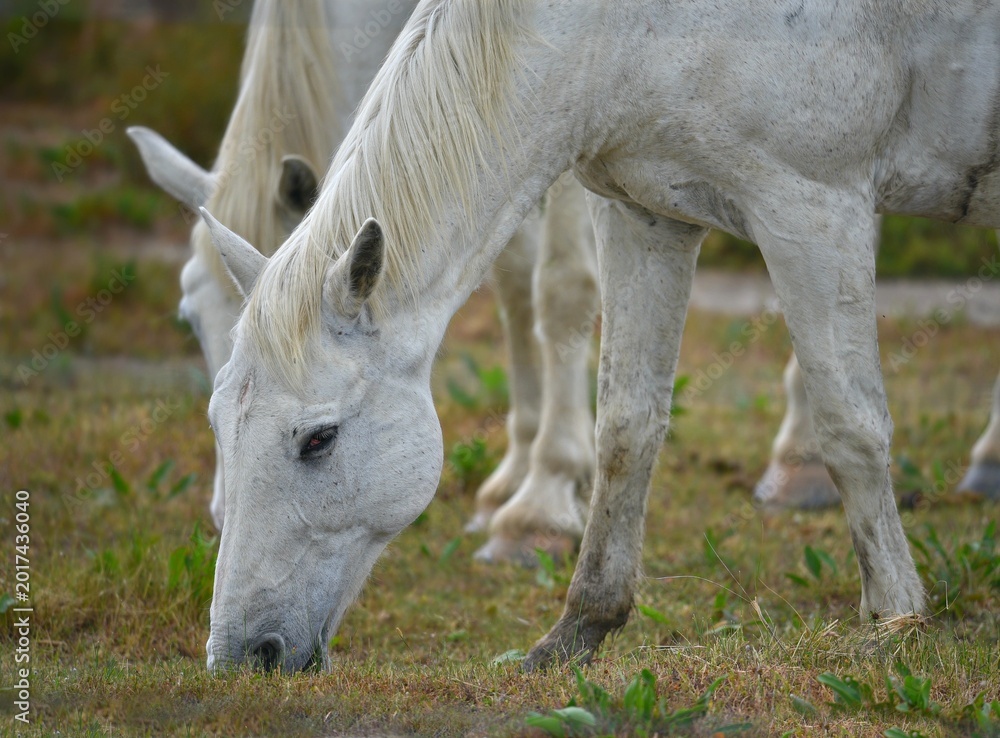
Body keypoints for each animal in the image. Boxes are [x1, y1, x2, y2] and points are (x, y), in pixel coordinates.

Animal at [128, 0, 599, 563]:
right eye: (191, 320)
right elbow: (514, 282)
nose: (223, 519)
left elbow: (560, 288)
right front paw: (514, 479)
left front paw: (544, 499)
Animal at [200, 0, 999, 672]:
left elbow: (851, 427)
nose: (242, 656)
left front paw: (897, 620)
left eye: (318, 438)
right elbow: (626, 428)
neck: (616, 27)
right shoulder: (647, 215)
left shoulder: (813, 205)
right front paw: (579, 628)